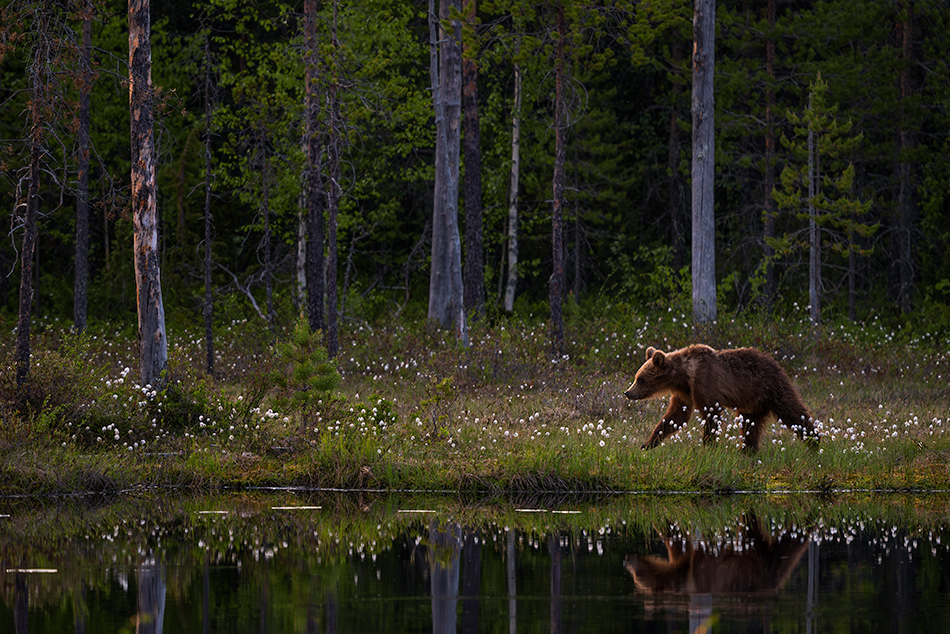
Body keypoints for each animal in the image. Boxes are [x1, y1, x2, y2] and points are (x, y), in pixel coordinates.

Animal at [624, 346, 820, 450]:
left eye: (640, 379)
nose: (628, 393)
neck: (684, 375)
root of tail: (775, 362)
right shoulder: (684, 393)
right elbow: (675, 417)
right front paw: (648, 443)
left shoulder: (704, 382)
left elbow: (710, 413)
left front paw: (708, 445)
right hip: (752, 403)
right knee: (750, 425)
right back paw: (748, 450)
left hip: (772, 388)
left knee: (792, 411)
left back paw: (814, 440)